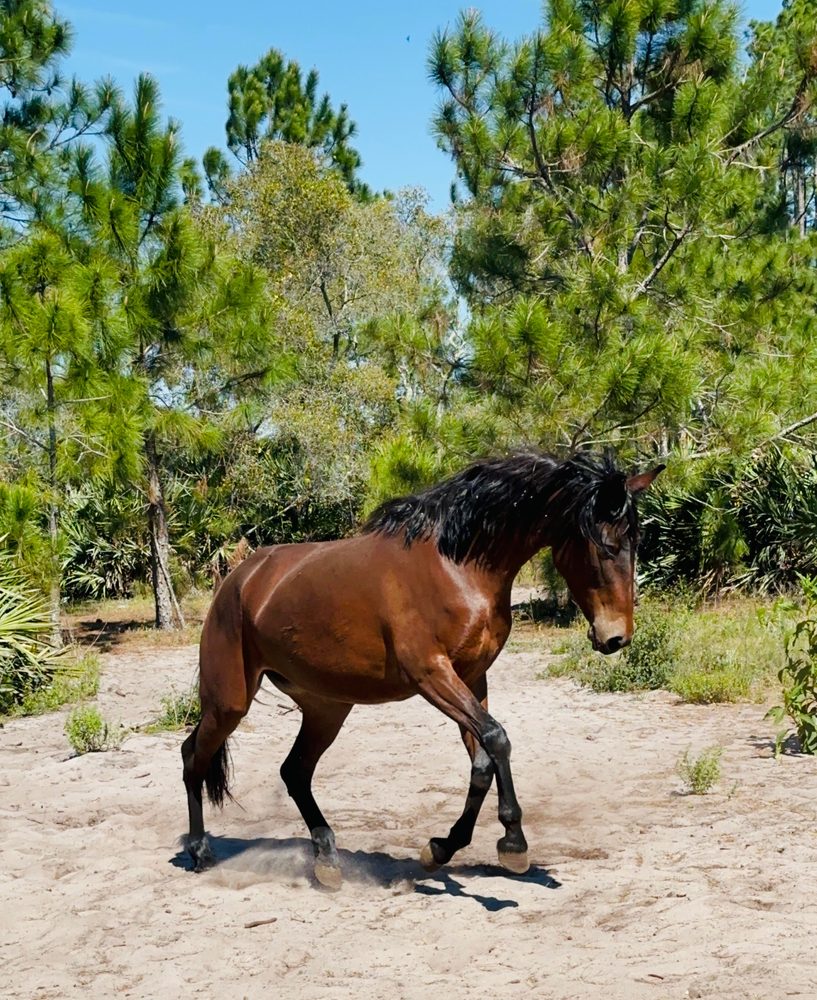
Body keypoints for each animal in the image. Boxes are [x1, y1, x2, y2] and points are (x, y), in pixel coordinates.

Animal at [181, 450, 663, 888]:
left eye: (636, 542)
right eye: (604, 546)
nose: (616, 638)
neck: (457, 566)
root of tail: (239, 579)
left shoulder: (471, 678)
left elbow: (483, 763)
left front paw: (441, 849)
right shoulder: (432, 675)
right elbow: (497, 739)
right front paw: (513, 845)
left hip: (326, 707)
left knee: (294, 772)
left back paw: (327, 861)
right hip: (230, 703)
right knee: (192, 757)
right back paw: (201, 852)